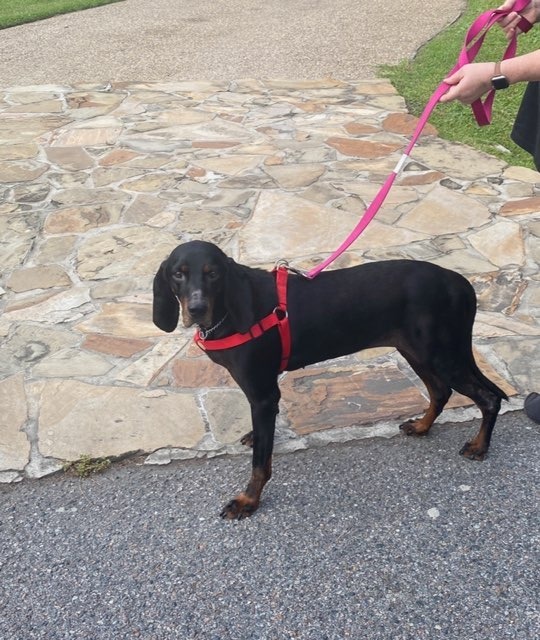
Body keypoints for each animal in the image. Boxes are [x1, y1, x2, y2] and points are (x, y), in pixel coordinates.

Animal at [154, 240, 508, 520]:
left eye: (213, 273)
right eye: (178, 274)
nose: (196, 309)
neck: (230, 308)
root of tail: (462, 283)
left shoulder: (264, 394)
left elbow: (260, 464)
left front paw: (248, 500)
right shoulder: (262, 394)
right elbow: (262, 440)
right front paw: (255, 439)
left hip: (441, 354)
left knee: (488, 397)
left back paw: (479, 446)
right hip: (417, 351)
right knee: (441, 390)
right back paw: (422, 426)